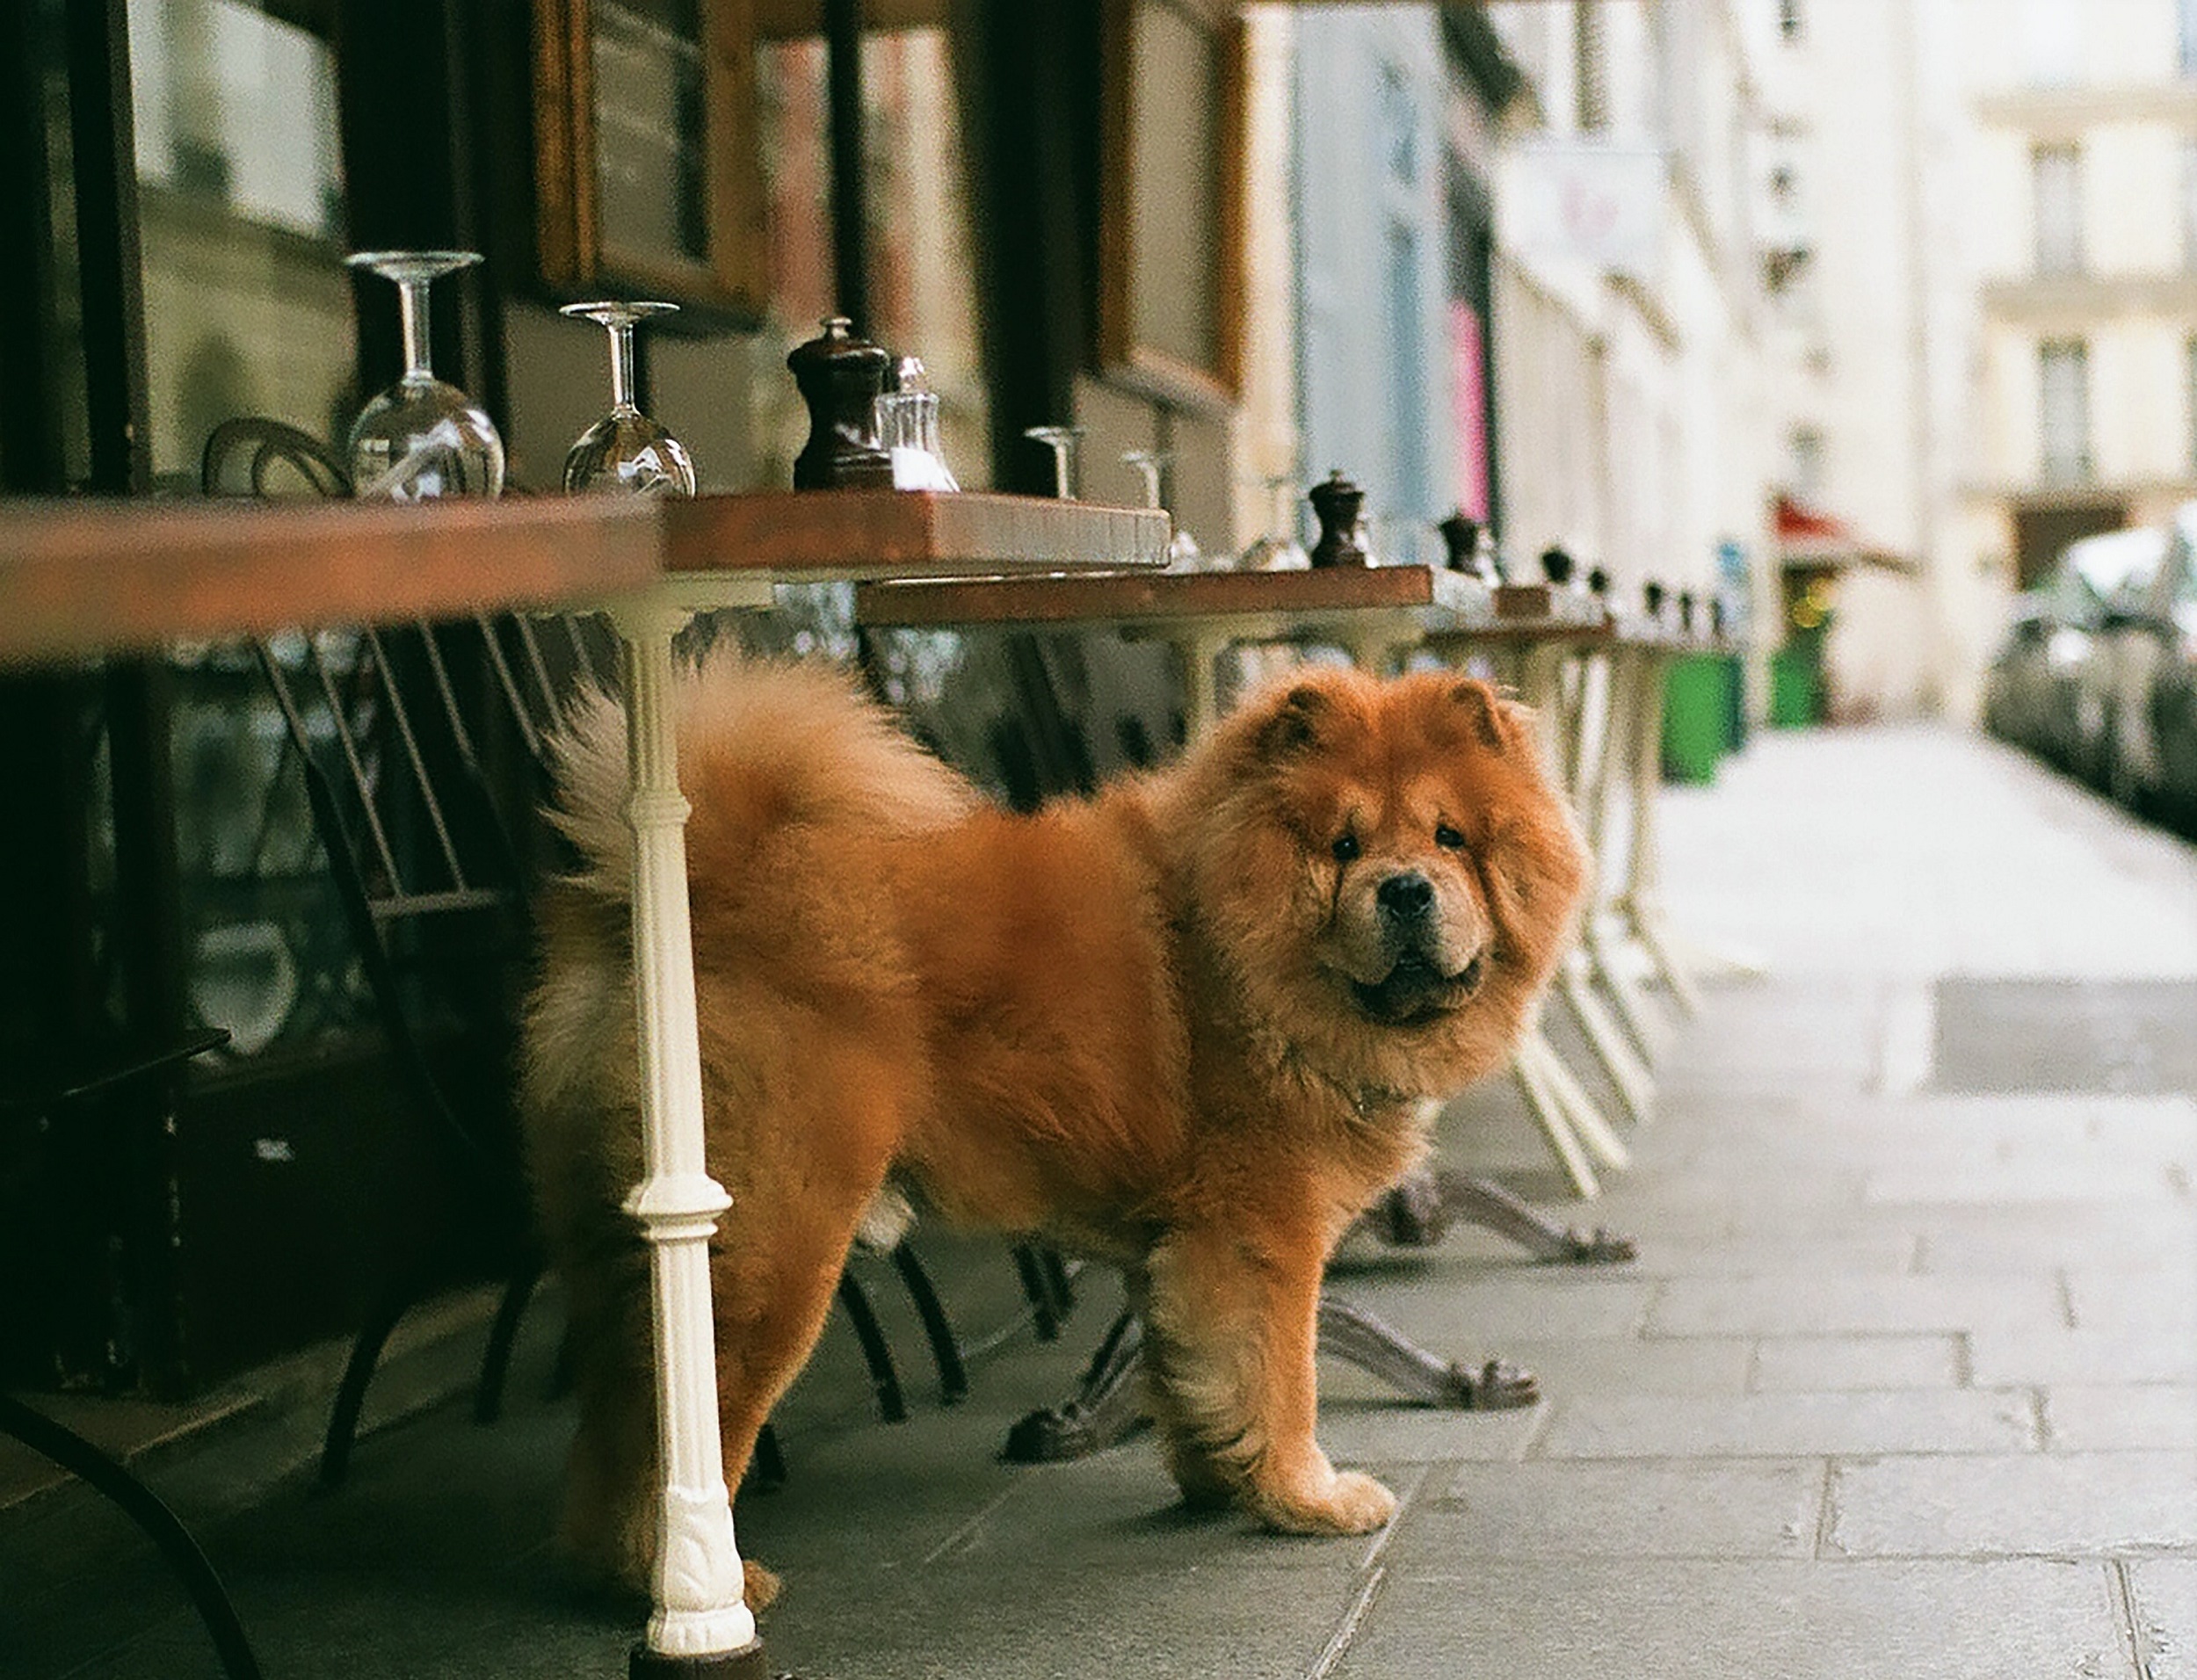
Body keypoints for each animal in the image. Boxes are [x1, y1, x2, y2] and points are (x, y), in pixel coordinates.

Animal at [523, 649, 1591, 1589]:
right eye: (1344, 847)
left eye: (1450, 838)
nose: (1405, 889)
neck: (1238, 962)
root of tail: (713, 877)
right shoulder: (1262, 1235)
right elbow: (1281, 1379)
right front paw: (1306, 1499)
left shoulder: (1175, 1248)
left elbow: (1190, 1374)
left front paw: (1214, 1485)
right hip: (775, 1243)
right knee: (676, 1417)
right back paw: (701, 1583)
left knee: (612, 1411)